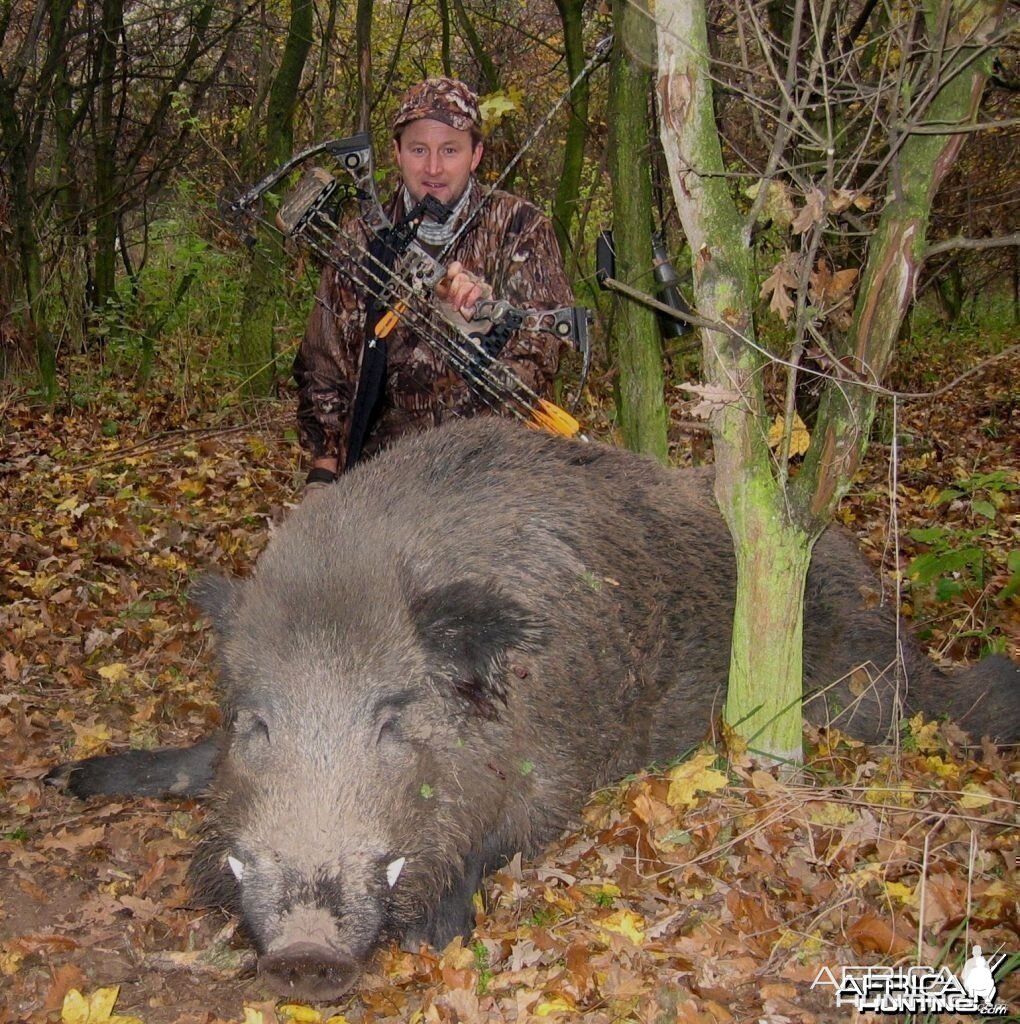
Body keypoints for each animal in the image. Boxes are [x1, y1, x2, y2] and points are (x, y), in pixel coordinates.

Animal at [48, 418, 1019, 1001]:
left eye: (391, 718)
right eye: (255, 723)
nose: (304, 953)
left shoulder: (560, 768)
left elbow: (500, 841)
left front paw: (437, 934)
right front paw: (65, 777)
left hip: (855, 690)